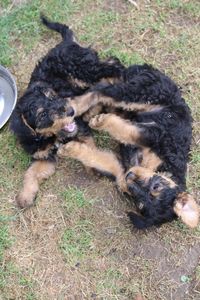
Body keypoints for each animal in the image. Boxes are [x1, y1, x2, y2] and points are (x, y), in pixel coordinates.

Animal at [57, 62, 198, 227]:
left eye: (140, 204)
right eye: (156, 186)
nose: (130, 175)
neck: (162, 165)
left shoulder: (120, 169)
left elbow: (95, 157)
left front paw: (69, 149)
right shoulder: (157, 133)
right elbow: (128, 131)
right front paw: (101, 121)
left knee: (106, 88)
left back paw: (89, 112)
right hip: (144, 94)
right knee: (103, 90)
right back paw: (75, 107)